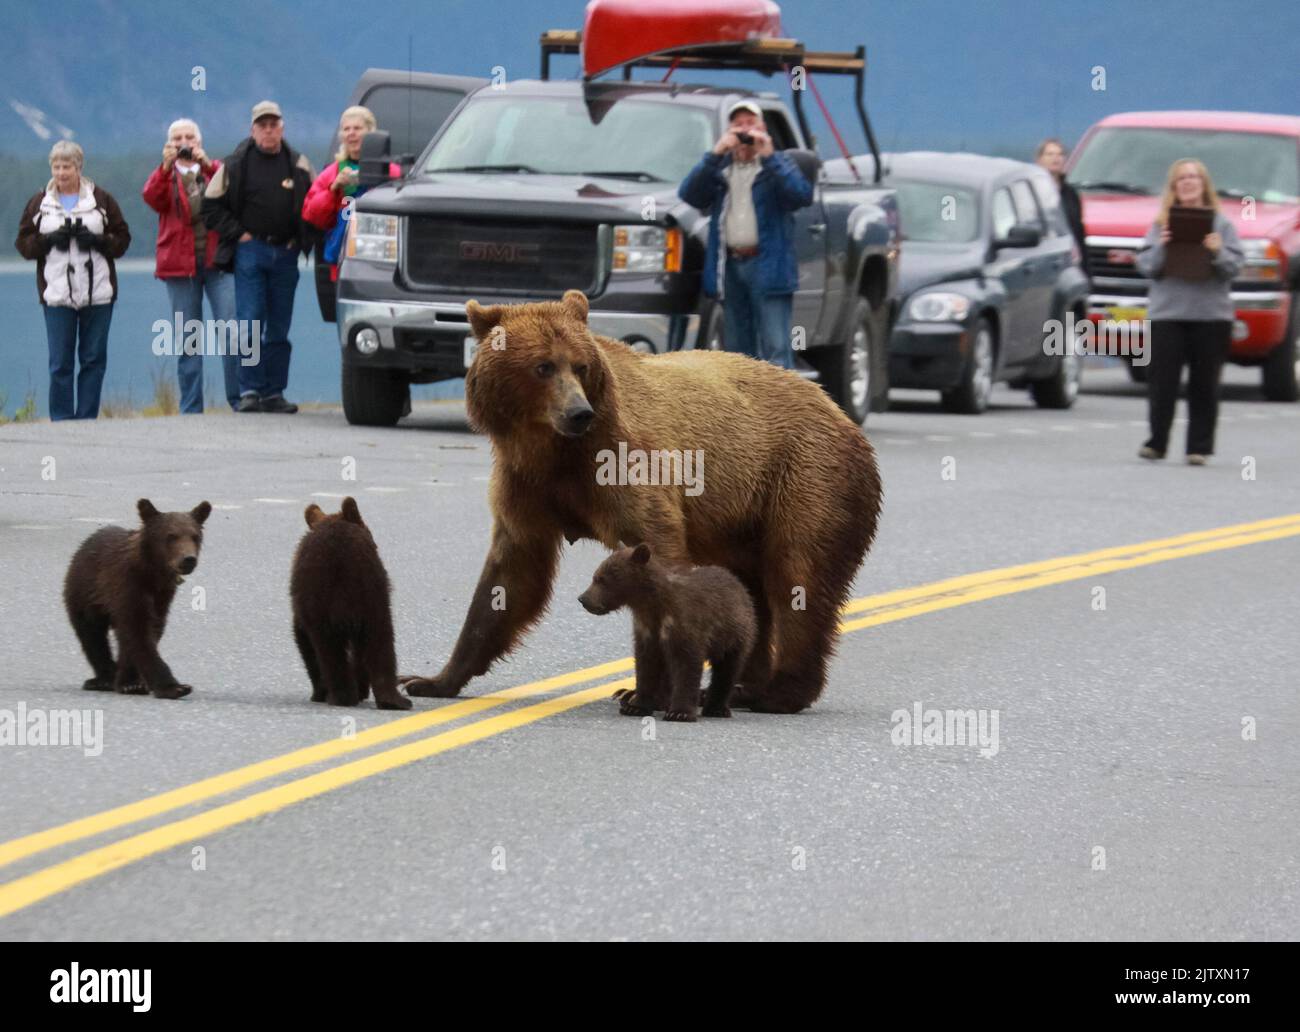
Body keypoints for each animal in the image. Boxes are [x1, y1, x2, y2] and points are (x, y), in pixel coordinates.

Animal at [400, 289, 878, 707]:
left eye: (580, 365)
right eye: (543, 366)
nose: (579, 412)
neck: (553, 450)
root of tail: (843, 416)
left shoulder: (623, 465)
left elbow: (658, 556)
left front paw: (643, 690)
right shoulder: (526, 487)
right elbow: (509, 580)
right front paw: (432, 679)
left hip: (804, 478)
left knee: (798, 576)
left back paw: (777, 693)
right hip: (744, 520)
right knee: (754, 590)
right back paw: (740, 685)